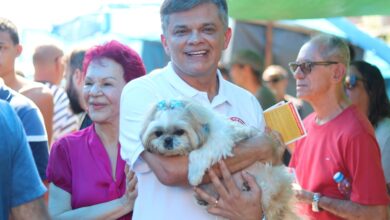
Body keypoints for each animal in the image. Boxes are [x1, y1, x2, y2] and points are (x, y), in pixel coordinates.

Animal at [142, 99, 300, 220]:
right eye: (158, 133)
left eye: (180, 131)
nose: (167, 140)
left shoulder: (219, 141)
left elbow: (197, 154)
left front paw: (193, 175)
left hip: (269, 181)